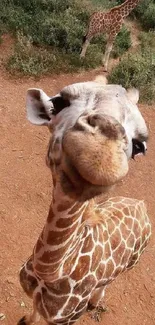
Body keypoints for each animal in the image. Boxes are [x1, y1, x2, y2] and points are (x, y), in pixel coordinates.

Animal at [17, 78, 151, 324]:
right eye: (58, 103)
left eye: (139, 146)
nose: (100, 155)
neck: (51, 273)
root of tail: (141, 204)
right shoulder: (35, 298)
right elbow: (33, 311)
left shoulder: (68, 319)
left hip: (132, 263)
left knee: (111, 280)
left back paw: (96, 302)